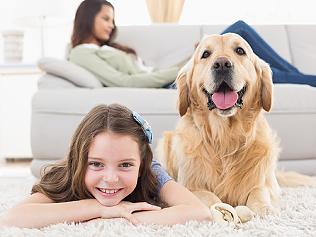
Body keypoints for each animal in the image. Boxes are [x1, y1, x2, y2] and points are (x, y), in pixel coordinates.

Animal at [158, 32, 316, 221]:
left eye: (240, 50)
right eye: (205, 54)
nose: (222, 64)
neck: (225, 137)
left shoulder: (261, 181)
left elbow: (258, 192)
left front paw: (265, 210)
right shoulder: (190, 186)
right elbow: (210, 197)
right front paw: (222, 211)